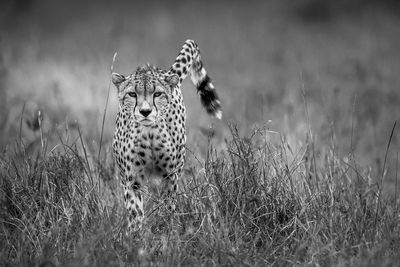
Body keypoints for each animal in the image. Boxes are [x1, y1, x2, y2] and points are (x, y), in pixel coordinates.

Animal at [111, 39, 222, 230]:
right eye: (132, 94)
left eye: (157, 94)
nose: (145, 111)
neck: (149, 133)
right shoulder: (131, 178)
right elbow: (135, 210)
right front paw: (136, 233)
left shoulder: (170, 175)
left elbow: (168, 203)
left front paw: (166, 227)